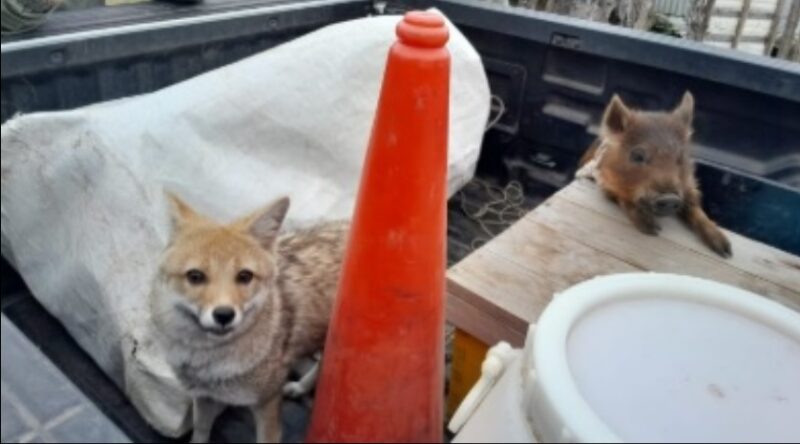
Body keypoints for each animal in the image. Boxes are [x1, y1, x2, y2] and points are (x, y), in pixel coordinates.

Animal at [149, 194, 347, 443]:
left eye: (244, 276)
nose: (224, 315)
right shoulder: (205, 397)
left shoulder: (267, 406)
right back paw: (300, 388)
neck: (209, 363)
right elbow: (201, 432)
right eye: (195, 276)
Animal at [579, 92, 732, 257]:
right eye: (638, 156)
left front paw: (726, 250)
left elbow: (694, 206)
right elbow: (624, 199)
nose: (670, 198)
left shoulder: (690, 185)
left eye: (680, 158)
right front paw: (652, 230)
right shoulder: (604, 181)